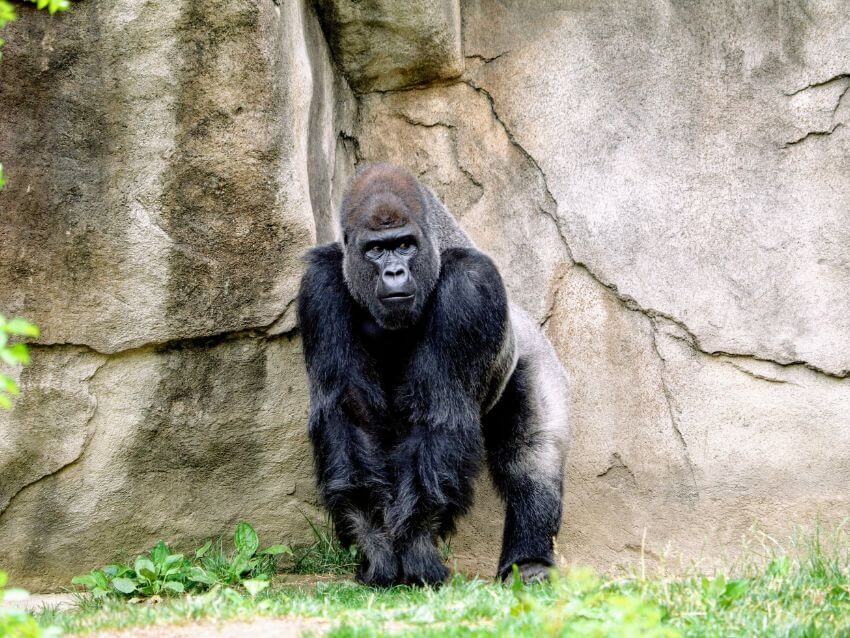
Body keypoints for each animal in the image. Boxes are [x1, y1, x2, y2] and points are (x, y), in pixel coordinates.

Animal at [294, 162, 568, 588]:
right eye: (375, 250)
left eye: (405, 245)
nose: (394, 272)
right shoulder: (320, 287)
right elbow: (350, 417)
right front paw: (376, 546)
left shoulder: (471, 288)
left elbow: (440, 417)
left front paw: (417, 547)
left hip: (535, 357)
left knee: (532, 456)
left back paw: (530, 560)